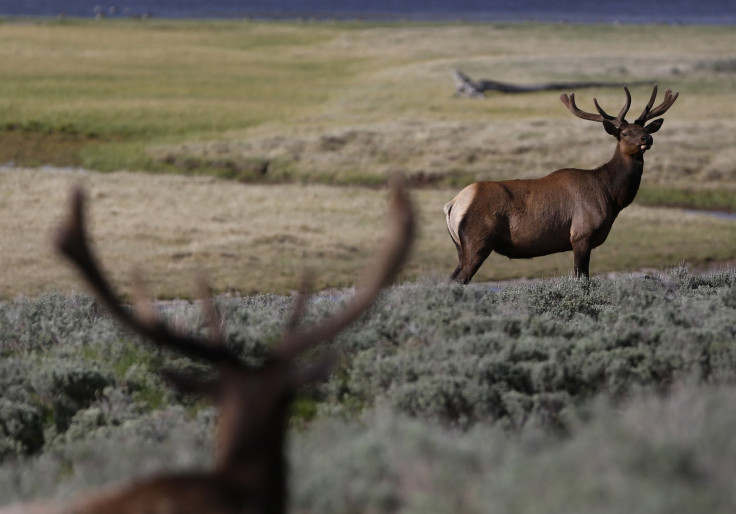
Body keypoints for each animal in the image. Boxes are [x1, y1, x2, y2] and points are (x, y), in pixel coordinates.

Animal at [442, 85, 680, 282]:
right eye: (623, 132)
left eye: (646, 130)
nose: (646, 139)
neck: (611, 196)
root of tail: (452, 204)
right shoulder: (581, 236)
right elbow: (582, 279)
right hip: (477, 242)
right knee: (459, 279)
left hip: (461, 247)